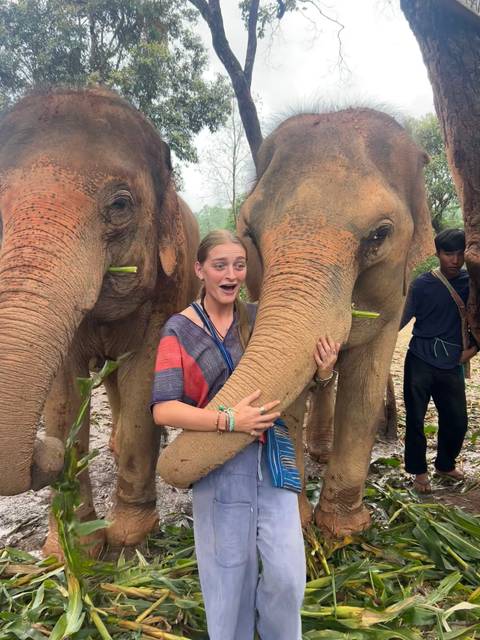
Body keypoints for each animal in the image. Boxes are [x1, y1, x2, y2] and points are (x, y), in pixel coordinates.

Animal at [0, 87, 199, 553]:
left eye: (121, 204)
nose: (47, 452)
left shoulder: (168, 287)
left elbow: (144, 377)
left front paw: (129, 539)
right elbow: (63, 393)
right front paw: (70, 549)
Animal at [157, 107, 433, 536]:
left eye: (380, 234)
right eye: (250, 233)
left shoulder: (395, 298)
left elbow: (363, 390)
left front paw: (344, 531)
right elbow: (291, 395)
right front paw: (301, 523)